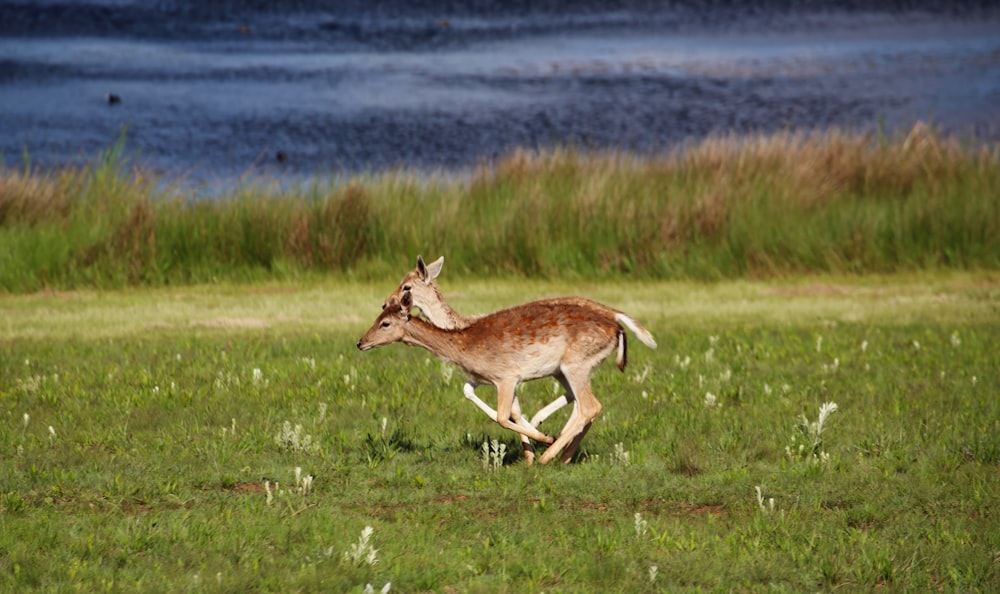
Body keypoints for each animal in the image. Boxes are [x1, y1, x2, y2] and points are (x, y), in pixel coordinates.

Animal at [382, 252, 656, 460]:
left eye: (406, 286)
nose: (386, 303)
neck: (463, 325)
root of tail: (616, 317)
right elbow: (474, 393)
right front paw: (530, 450)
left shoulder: (506, 374)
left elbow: (504, 408)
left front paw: (534, 447)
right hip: (566, 369)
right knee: (579, 402)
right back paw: (560, 449)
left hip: (572, 365)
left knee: (585, 404)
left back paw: (551, 444)